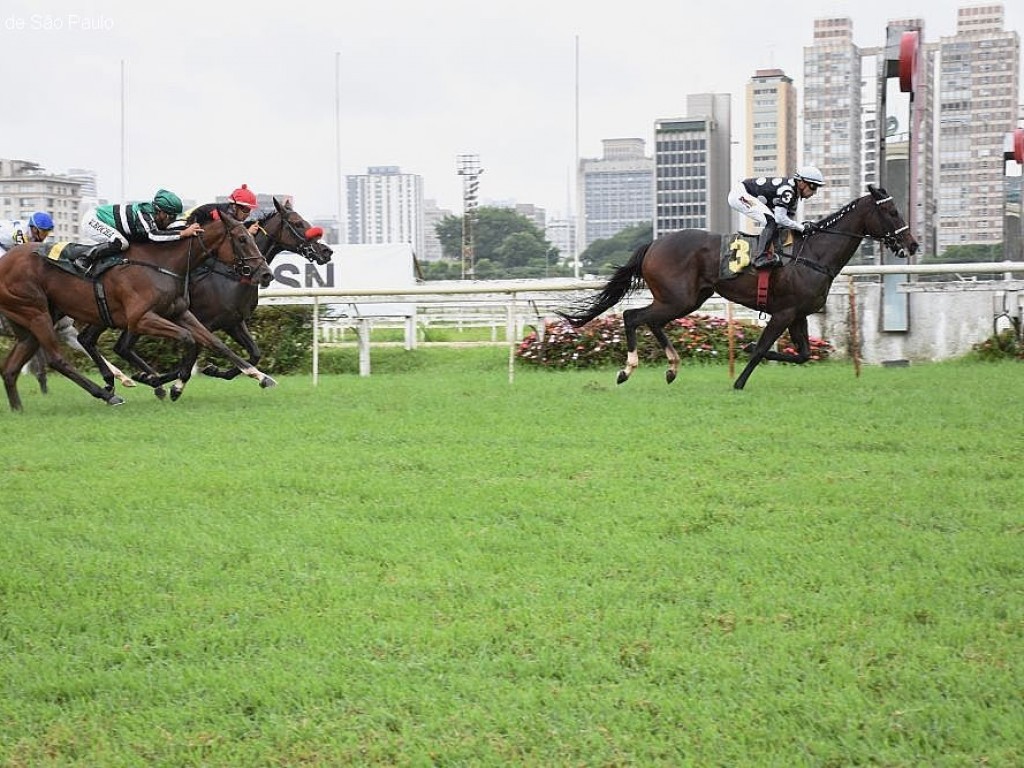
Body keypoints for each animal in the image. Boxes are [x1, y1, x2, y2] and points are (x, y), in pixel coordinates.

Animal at [561, 185, 921, 391]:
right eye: (891, 211)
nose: (912, 244)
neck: (813, 254)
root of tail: (653, 244)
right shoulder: (784, 312)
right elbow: (762, 349)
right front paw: (739, 379)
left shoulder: (798, 314)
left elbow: (803, 355)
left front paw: (745, 352)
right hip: (678, 298)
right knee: (633, 317)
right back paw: (627, 370)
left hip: (688, 299)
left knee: (651, 321)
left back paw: (672, 368)